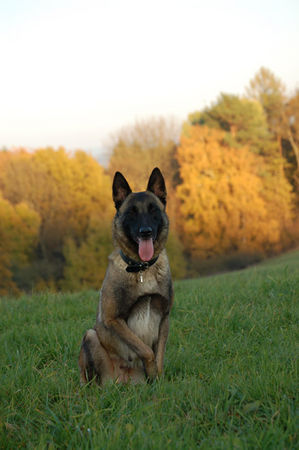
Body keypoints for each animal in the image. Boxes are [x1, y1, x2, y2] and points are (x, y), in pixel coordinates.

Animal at [78, 167, 175, 384]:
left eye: (153, 210)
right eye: (131, 213)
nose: (146, 232)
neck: (142, 269)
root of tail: (121, 383)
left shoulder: (164, 317)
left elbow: (160, 355)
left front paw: (159, 379)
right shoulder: (114, 319)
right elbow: (146, 350)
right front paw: (152, 372)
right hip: (90, 336)